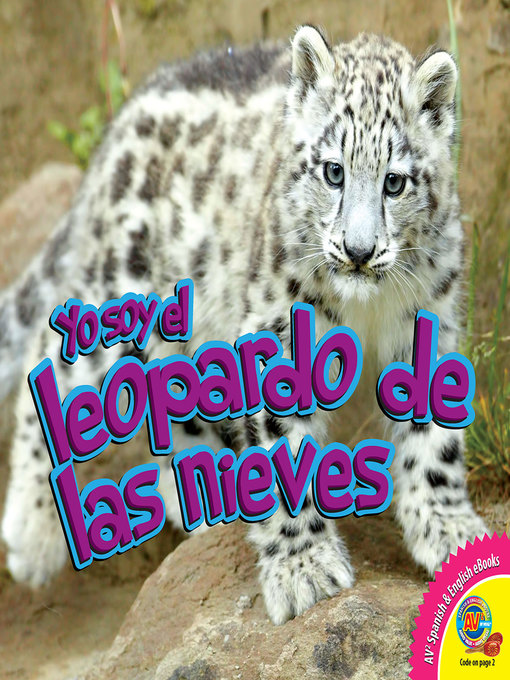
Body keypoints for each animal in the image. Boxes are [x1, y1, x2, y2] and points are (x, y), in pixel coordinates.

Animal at [0, 26, 488, 625]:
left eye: (394, 182)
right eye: (333, 171)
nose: (358, 251)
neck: (367, 310)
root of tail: (118, 129)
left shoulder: (430, 319)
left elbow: (434, 439)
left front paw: (450, 531)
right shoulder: (280, 330)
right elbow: (285, 452)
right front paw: (305, 571)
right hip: (117, 294)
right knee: (51, 355)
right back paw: (32, 534)